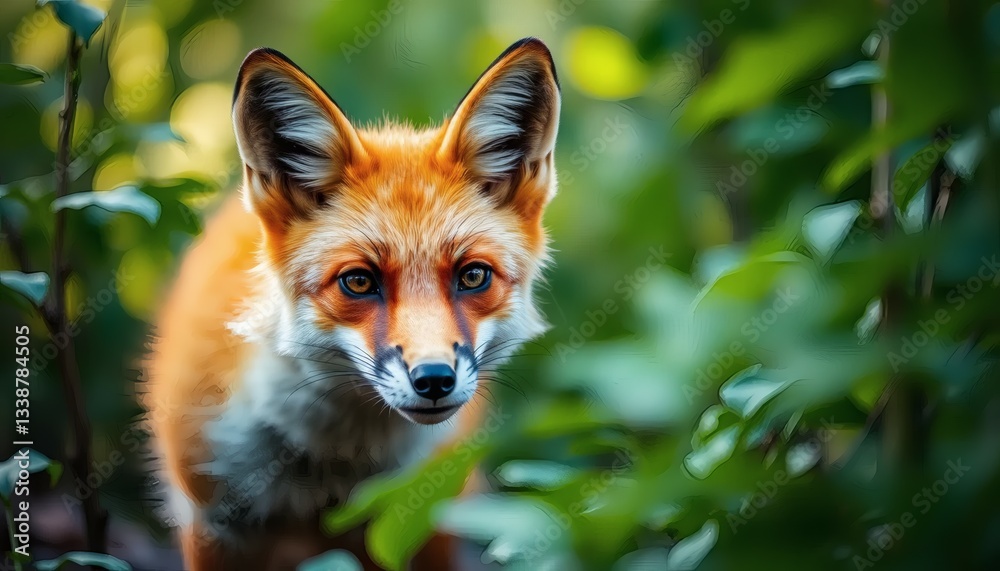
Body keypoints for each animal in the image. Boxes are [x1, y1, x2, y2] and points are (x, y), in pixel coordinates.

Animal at [142, 37, 560, 570]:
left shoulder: (416, 525)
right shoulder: (214, 526)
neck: (333, 462)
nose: (434, 380)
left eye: (472, 276)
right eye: (359, 282)